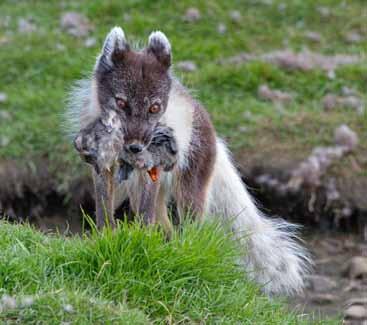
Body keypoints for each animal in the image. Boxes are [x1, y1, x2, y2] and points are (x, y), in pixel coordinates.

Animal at [67, 26, 310, 292]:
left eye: (154, 108)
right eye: (121, 102)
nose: (135, 147)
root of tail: (208, 125)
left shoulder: (151, 170)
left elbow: (145, 214)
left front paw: (139, 241)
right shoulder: (103, 168)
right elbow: (103, 210)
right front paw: (105, 239)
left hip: (187, 191)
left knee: (189, 226)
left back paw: (181, 252)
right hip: (135, 190)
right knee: (164, 225)